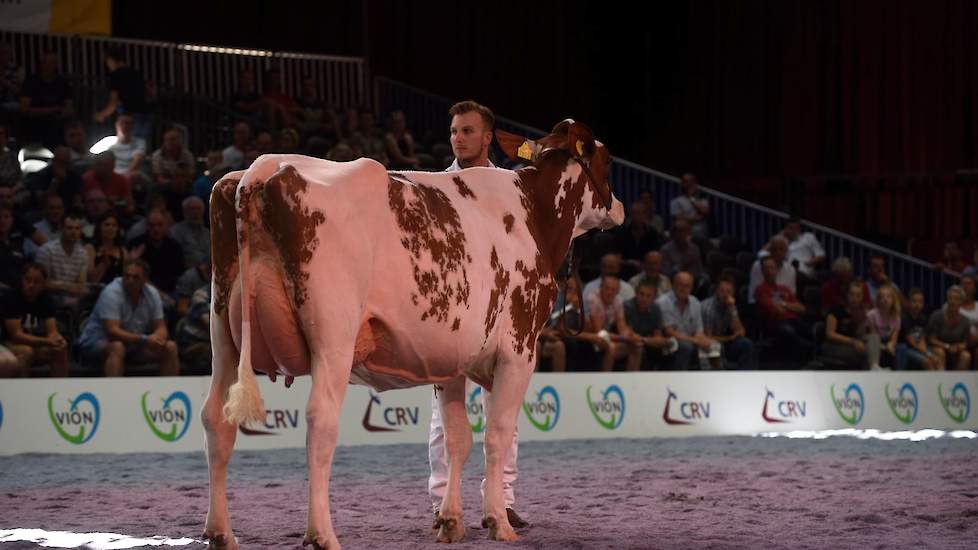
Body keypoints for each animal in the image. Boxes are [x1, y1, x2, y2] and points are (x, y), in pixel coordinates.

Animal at [201, 118, 620, 548]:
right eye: (607, 161)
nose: (618, 208)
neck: (532, 212)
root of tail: (263, 166)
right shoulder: (519, 350)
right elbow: (497, 435)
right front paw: (497, 522)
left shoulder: (450, 358)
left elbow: (457, 438)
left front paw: (450, 520)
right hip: (333, 337)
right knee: (320, 422)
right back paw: (322, 534)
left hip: (223, 331)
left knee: (216, 418)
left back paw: (220, 532)